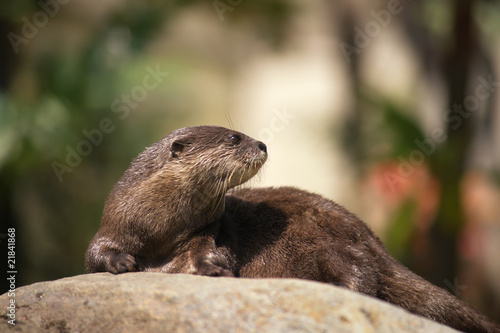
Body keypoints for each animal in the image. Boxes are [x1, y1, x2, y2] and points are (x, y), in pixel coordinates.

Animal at [84, 126, 498, 330]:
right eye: (234, 137)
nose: (262, 143)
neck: (160, 228)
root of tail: (374, 240)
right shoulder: (114, 221)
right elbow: (95, 252)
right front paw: (122, 262)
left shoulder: (211, 230)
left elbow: (212, 252)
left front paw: (213, 269)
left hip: (328, 243)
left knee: (361, 273)